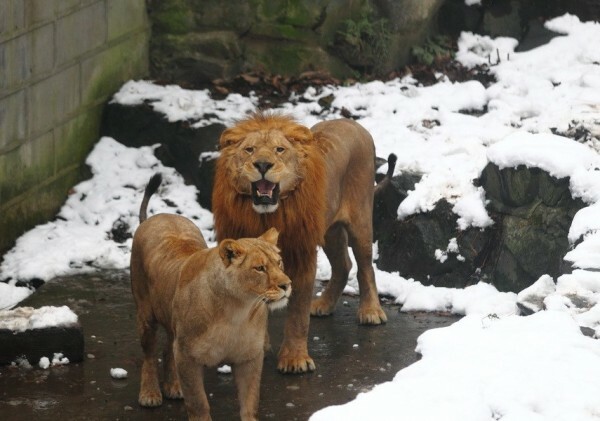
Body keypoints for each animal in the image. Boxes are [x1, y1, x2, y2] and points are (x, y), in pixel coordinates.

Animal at [132, 172, 292, 418]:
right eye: (260, 268)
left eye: (279, 262)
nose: (287, 285)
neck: (237, 311)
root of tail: (156, 217)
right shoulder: (187, 356)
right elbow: (198, 403)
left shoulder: (249, 357)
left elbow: (250, 402)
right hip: (145, 315)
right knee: (149, 355)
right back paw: (150, 394)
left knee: (167, 348)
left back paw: (174, 386)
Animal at [213, 110, 386, 372]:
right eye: (250, 150)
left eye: (280, 150)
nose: (262, 165)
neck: (266, 216)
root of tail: (353, 123)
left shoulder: (302, 253)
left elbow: (298, 314)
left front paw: (295, 360)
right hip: (330, 231)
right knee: (343, 264)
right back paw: (323, 305)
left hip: (361, 221)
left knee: (365, 266)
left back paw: (371, 311)